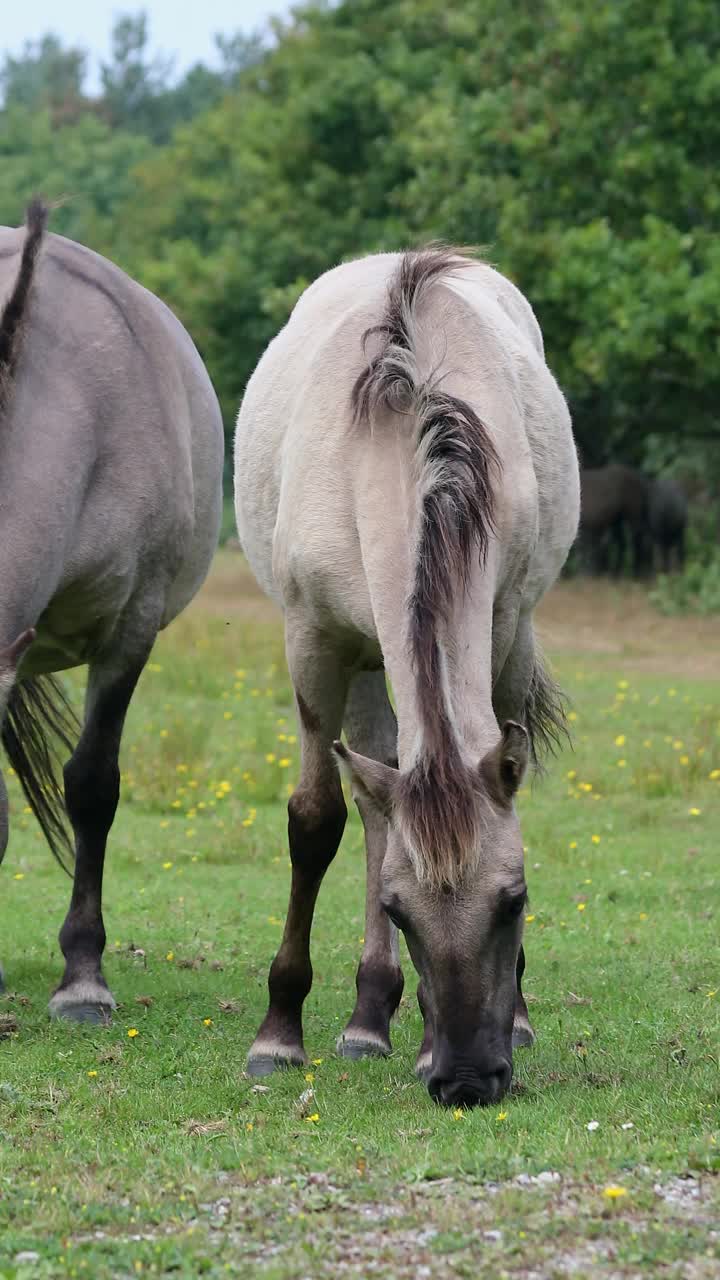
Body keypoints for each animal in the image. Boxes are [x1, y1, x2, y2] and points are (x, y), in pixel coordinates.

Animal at [235, 249, 576, 1111]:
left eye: (514, 901)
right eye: (399, 909)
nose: (467, 1079)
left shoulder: (495, 624)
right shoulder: (315, 641)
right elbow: (316, 821)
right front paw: (278, 1033)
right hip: (361, 659)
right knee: (371, 805)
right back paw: (365, 1017)